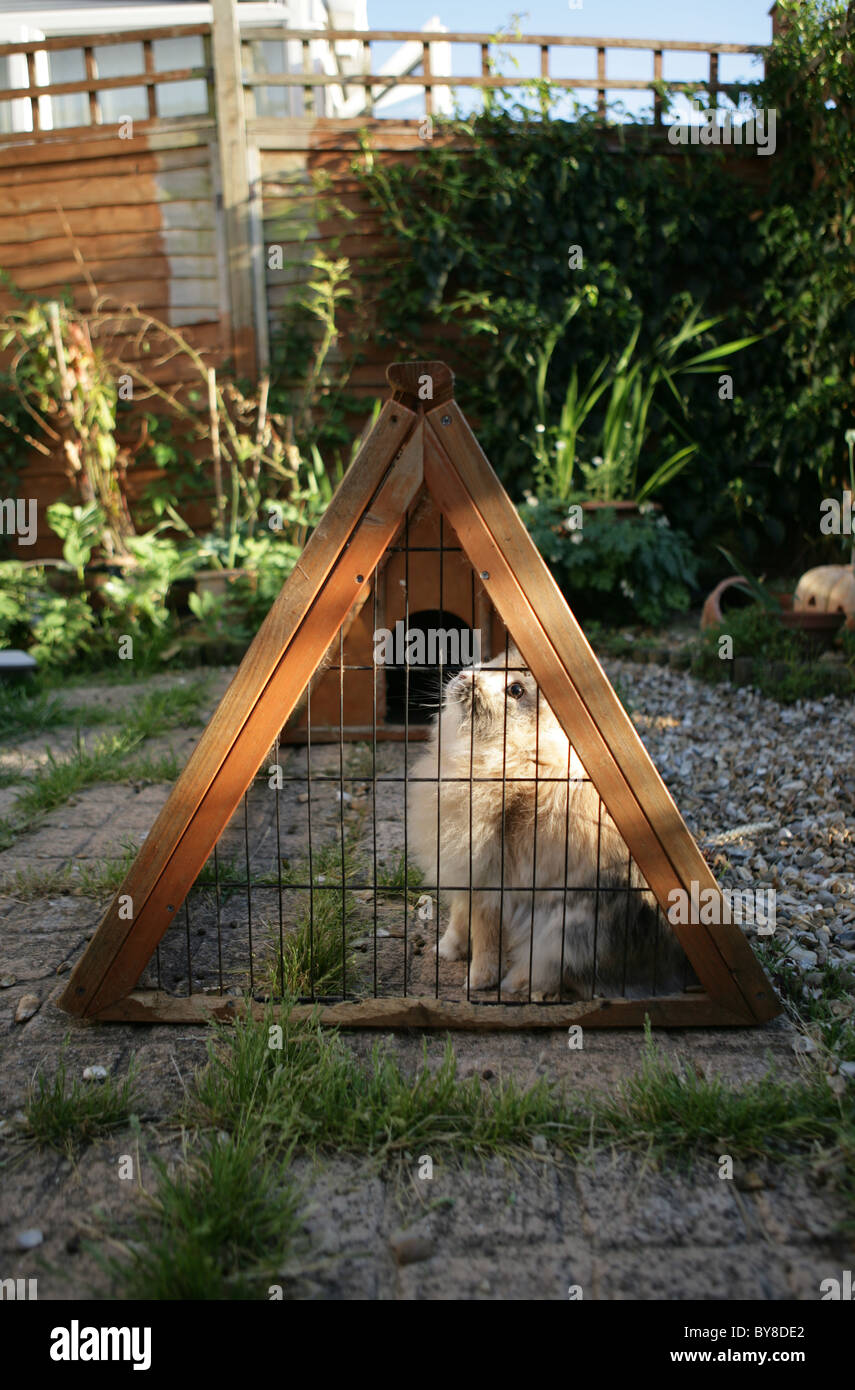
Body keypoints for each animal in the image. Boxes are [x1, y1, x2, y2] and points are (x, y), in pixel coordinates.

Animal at [408, 644, 689, 995]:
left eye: (516, 690)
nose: (464, 677)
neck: (517, 757)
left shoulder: (490, 884)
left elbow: (486, 936)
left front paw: (476, 982)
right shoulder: (463, 878)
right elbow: (460, 919)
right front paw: (445, 951)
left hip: (562, 930)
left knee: (554, 970)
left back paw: (515, 983)